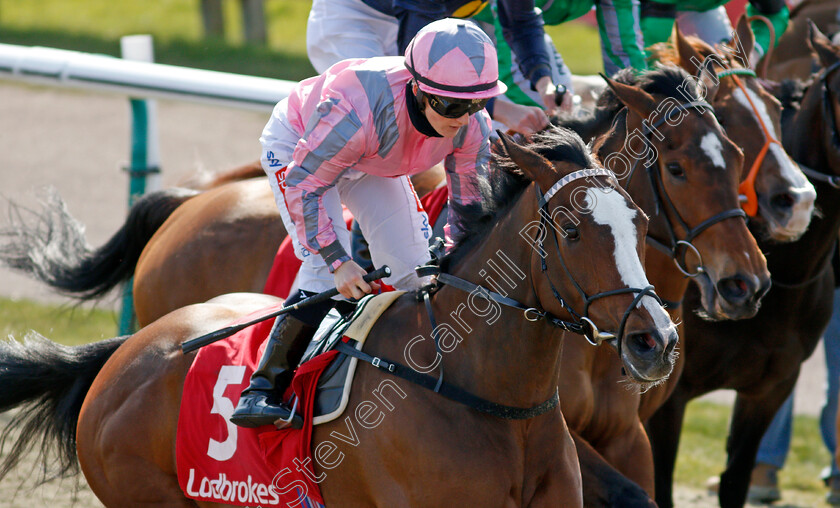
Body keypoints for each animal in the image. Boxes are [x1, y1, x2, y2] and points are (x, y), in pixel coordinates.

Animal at [648, 22, 840, 508]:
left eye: (775, 107)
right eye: (723, 116)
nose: (796, 201)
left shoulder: (771, 388)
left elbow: (736, 479)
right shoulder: (665, 397)